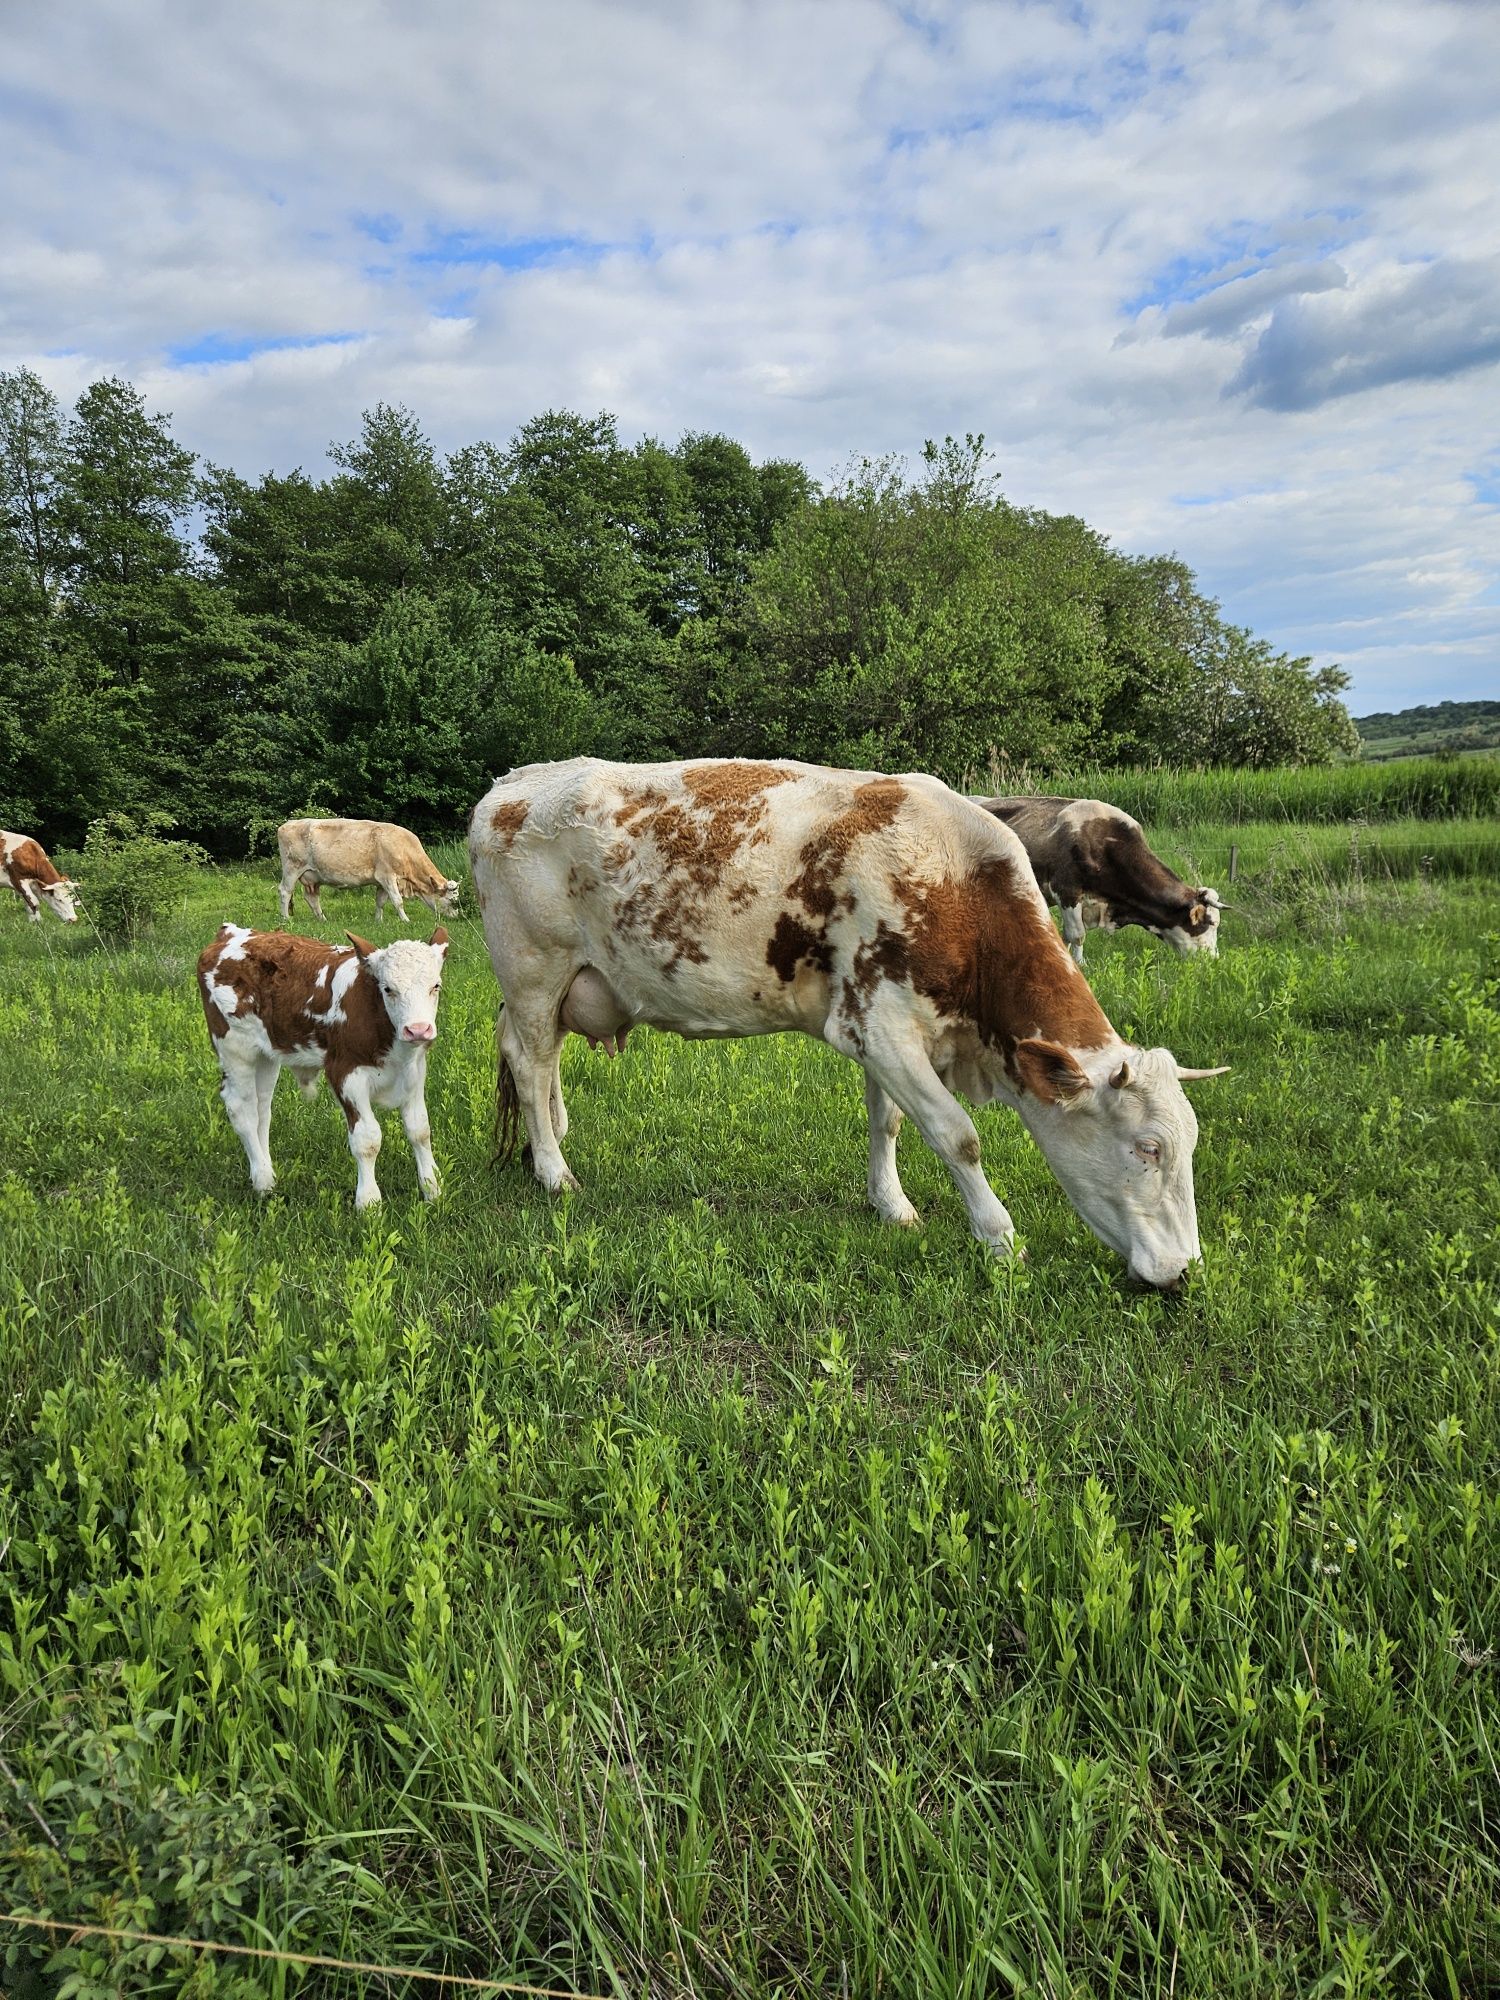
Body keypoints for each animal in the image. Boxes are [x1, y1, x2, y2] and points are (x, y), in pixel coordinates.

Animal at [198, 920, 452, 1200]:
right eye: (388, 989)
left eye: (436, 986)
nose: (418, 1030)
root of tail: (230, 933)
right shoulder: (344, 1072)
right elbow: (367, 1139)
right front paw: (369, 1200)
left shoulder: (414, 1071)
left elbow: (420, 1130)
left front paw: (433, 1189)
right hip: (235, 1049)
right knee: (242, 1110)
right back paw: (262, 1181)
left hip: (266, 1054)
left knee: (261, 1108)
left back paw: (267, 1173)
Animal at [278, 816, 462, 924]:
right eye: (452, 901)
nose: (457, 917)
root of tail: (288, 823)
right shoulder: (387, 876)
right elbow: (398, 901)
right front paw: (406, 920)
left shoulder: (382, 882)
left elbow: (380, 902)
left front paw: (378, 921)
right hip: (292, 869)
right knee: (285, 891)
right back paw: (286, 918)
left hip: (313, 877)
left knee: (312, 898)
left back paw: (323, 919)